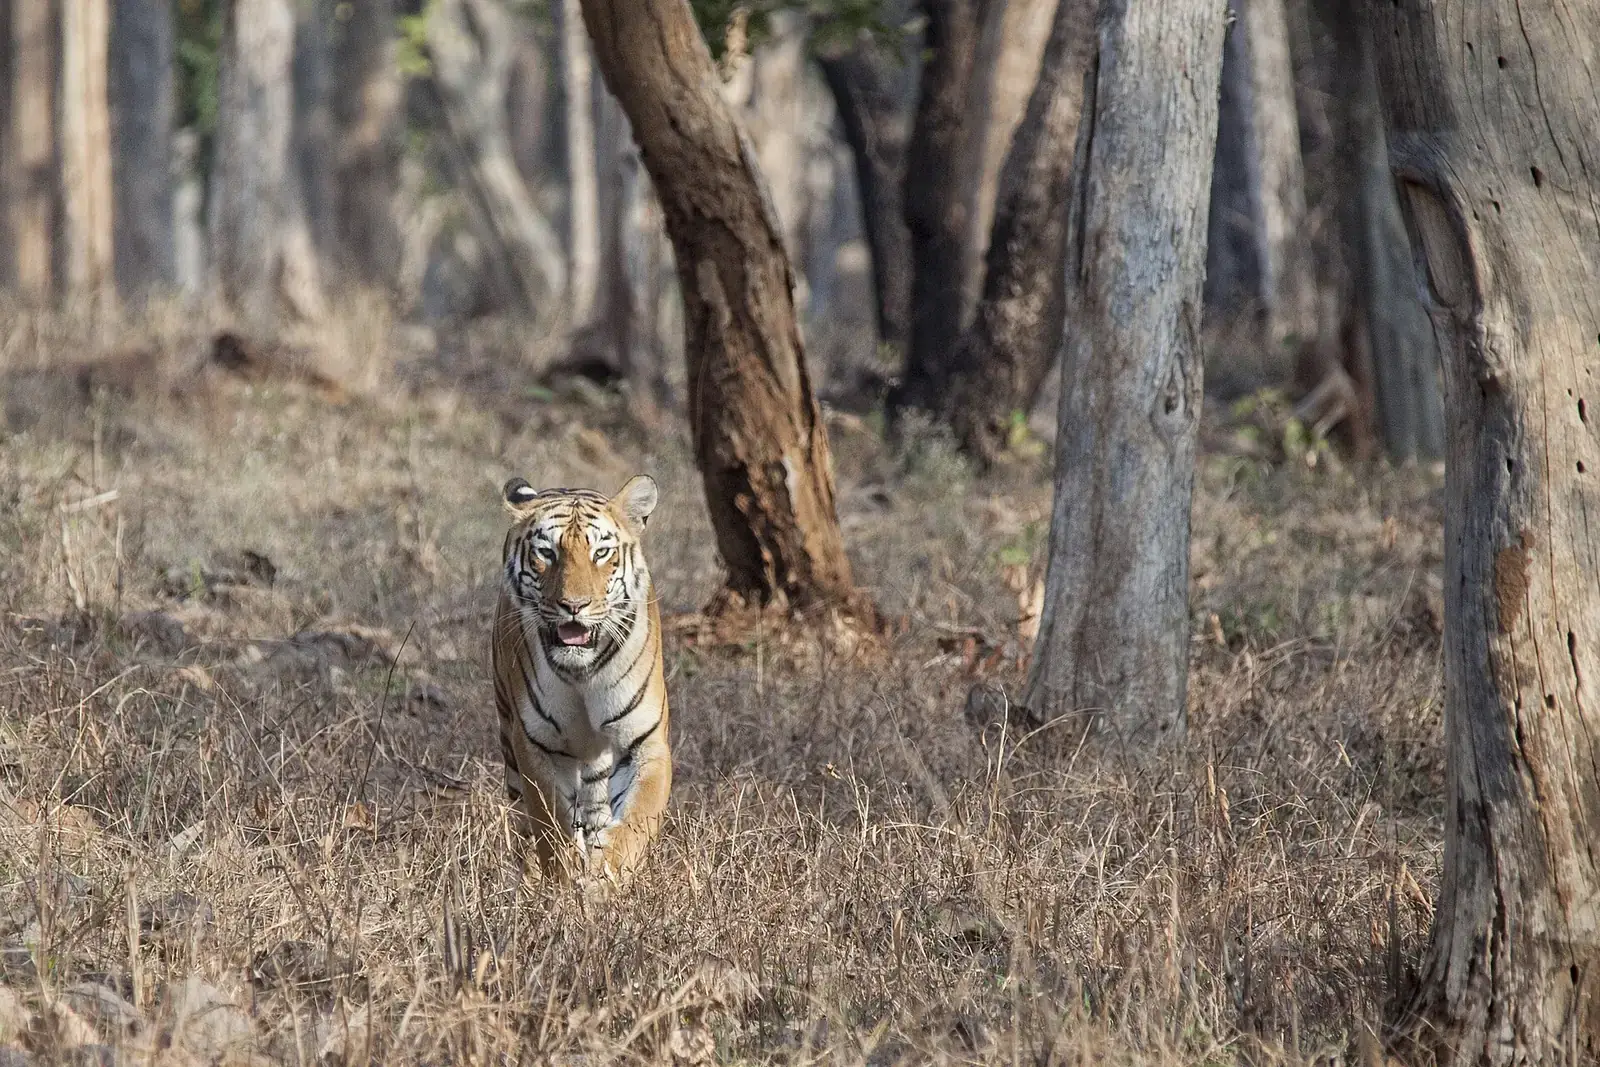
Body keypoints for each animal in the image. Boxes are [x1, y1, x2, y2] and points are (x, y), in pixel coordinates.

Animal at [491, 474, 671, 883]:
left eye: (601, 553)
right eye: (546, 553)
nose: (574, 606)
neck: (581, 671)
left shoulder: (646, 743)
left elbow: (636, 819)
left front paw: (605, 877)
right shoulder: (535, 745)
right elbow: (550, 826)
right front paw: (564, 881)